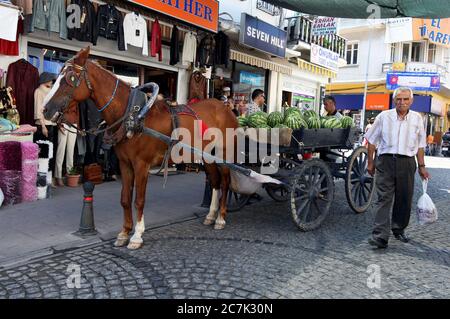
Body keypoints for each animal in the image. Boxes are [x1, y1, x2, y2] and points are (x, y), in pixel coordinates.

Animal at [42, 47, 239, 250]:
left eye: (70, 78)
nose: (46, 110)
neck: (133, 115)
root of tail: (225, 108)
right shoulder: (125, 164)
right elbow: (125, 199)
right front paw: (124, 233)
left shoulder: (141, 165)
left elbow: (139, 200)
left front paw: (136, 235)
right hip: (208, 156)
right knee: (214, 181)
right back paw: (211, 215)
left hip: (224, 154)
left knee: (224, 182)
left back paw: (220, 218)